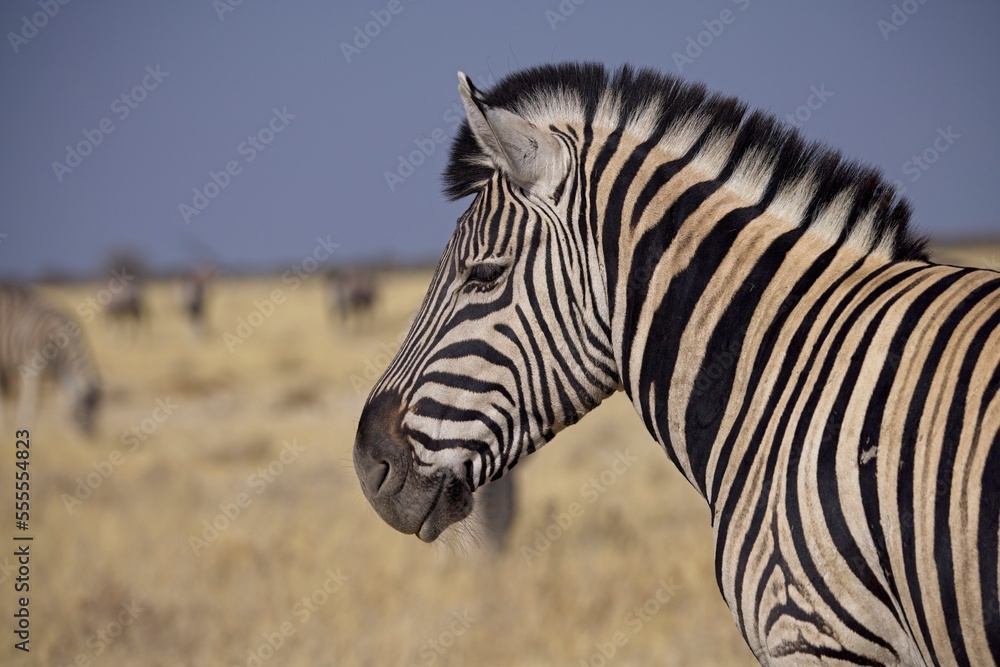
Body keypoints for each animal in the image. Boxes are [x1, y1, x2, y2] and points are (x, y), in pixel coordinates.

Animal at [0, 285, 101, 436]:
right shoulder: (31, 366)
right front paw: (25, 425)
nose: (92, 438)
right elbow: (31, 399)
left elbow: (63, 398)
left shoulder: (61, 372)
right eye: (82, 412)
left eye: (98, 413)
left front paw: (60, 428)